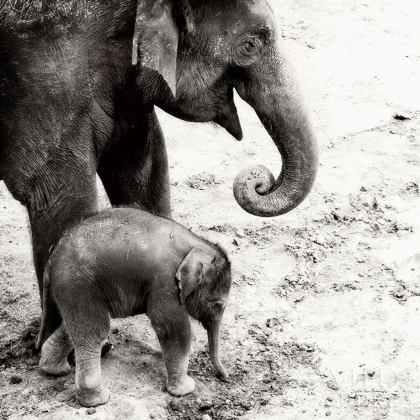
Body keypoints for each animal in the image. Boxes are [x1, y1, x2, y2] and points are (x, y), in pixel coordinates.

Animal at [35, 207, 233, 406]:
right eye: (218, 304)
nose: (225, 378)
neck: (196, 244)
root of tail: (51, 260)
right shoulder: (164, 281)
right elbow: (172, 328)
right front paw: (186, 389)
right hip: (79, 285)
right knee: (93, 333)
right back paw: (98, 400)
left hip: (71, 290)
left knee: (72, 326)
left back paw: (54, 369)